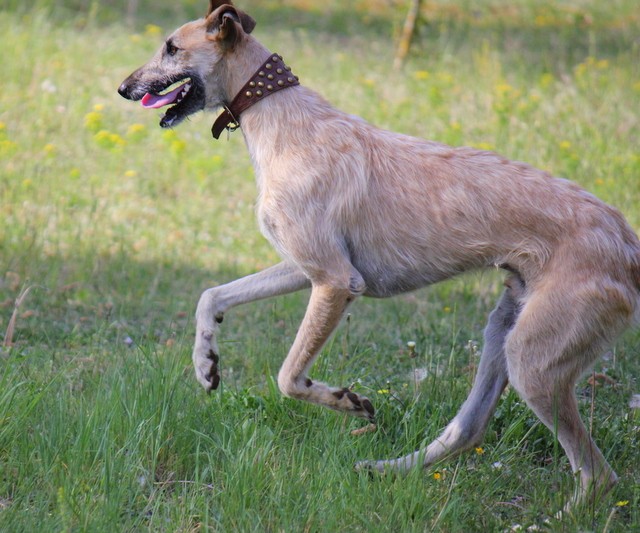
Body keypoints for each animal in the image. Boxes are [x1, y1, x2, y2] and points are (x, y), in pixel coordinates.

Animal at [117, 0, 636, 508]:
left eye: (171, 47)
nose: (123, 88)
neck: (282, 119)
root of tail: (626, 241)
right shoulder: (305, 267)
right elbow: (212, 294)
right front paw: (205, 363)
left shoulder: (335, 280)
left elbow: (288, 377)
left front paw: (341, 400)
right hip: (504, 333)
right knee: (468, 429)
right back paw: (389, 470)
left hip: (534, 362)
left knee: (598, 476)